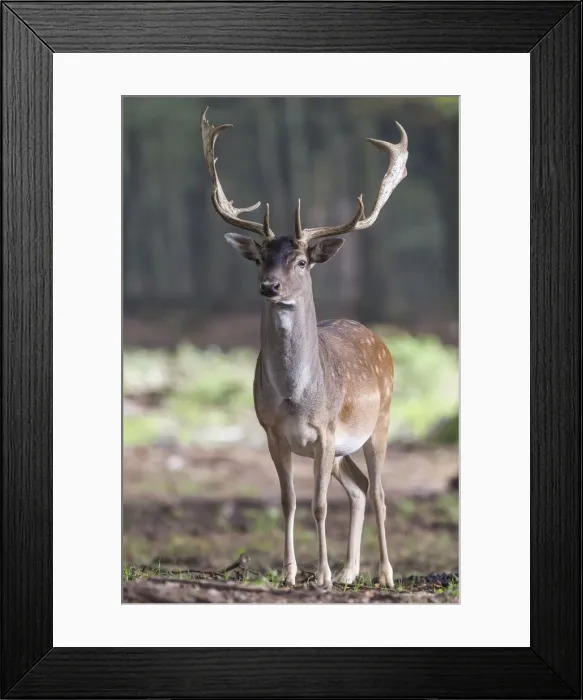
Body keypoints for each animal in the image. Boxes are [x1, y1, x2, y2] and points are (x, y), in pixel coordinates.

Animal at [201, 107, 408, 589]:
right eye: (260, 258)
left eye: (300, 261)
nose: (269, 287)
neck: (297, 397)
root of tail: (379, 340)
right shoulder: (274, 433)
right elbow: (289, 501)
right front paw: (293, 573)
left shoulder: (326, 431)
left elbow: (319, 504)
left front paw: (323, 575)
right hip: (341, 451)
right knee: (359, 489)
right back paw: (351, 571)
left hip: (380, 422)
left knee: (380, 491)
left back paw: (384, 574)